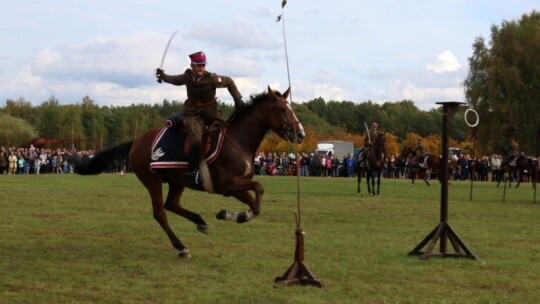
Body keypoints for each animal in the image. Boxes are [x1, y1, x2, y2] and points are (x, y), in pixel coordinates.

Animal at [74, 86, 306, 258]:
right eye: (282, 110)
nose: (301, 134)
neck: (238, 141)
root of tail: (137, 142)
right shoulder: (227, 185)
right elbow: (258, 189)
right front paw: (235, 215)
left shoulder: (236, 186)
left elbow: (254, 204)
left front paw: (233, 215)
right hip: (152, 181)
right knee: (160, 212)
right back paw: (181, 246)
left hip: (177, 181)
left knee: (171, 204)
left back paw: (200, 222)